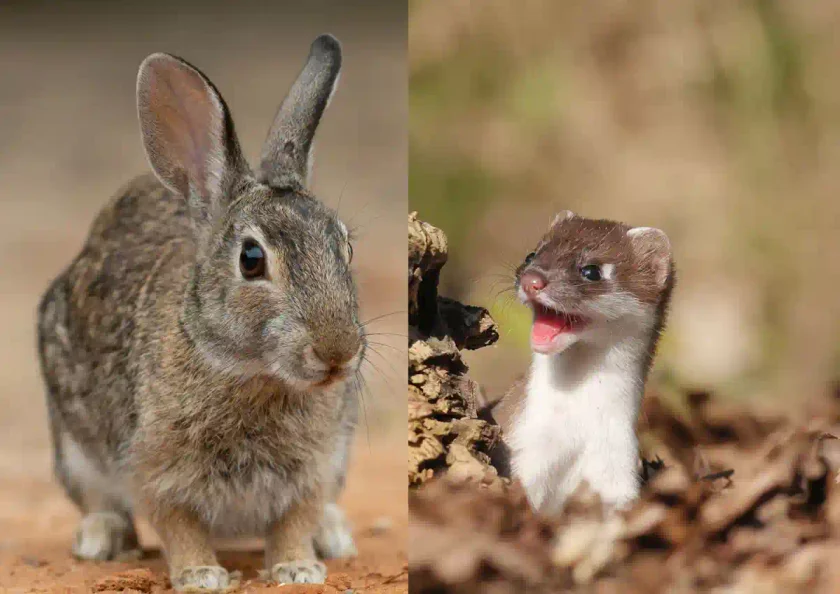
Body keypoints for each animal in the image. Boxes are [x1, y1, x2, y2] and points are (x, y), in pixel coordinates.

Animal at [36, 34, 365, 590]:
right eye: (251, 259)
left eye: (345, 247)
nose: (338, 350)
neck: (250, 373)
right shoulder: (155, 467)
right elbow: (179, 525)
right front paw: (199, 575)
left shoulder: (317, 467)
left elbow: (294, 519)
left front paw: (298, 568)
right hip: (73, 444)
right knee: (97, 498)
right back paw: (101, 538)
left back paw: (334, 534)